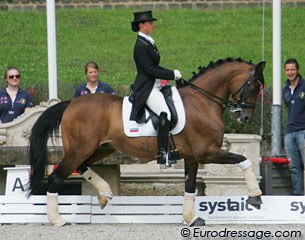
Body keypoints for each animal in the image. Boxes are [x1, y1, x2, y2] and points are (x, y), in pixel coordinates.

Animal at [29, 58, 266, 227]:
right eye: (254, 87)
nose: (245, 118)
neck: (202, 102)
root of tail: (71, 103)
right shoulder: (206, 152)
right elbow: (243, 159)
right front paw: (255, 198)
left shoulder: (192, 157)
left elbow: (190, 186)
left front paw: (191, 218)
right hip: (80, 149)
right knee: (57, 177)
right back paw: (58, 220)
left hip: (100, 148)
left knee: (82, 167)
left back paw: (104, 194)